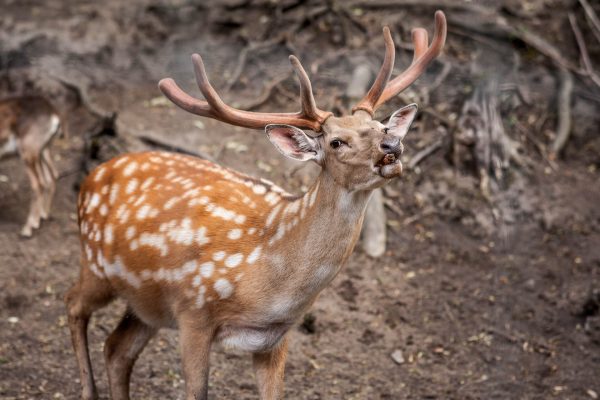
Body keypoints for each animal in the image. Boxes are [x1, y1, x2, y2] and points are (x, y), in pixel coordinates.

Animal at [0, 95, 61, 236]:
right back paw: (43, 216)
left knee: (38, 185)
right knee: (51, 177)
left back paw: (27, 230)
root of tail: (53, 113)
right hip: (43, 151)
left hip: (28, 154)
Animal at [65, 11, 448, 400]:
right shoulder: (193, 312)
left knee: (116, 349)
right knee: (73, 304)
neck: (271, 286)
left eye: (380, 125)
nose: (392, 146)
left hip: (147, 305)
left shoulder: (275, 338)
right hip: (96, 266)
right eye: (337, 142)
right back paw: (87, 388)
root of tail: (93, 175)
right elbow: (196, 391)